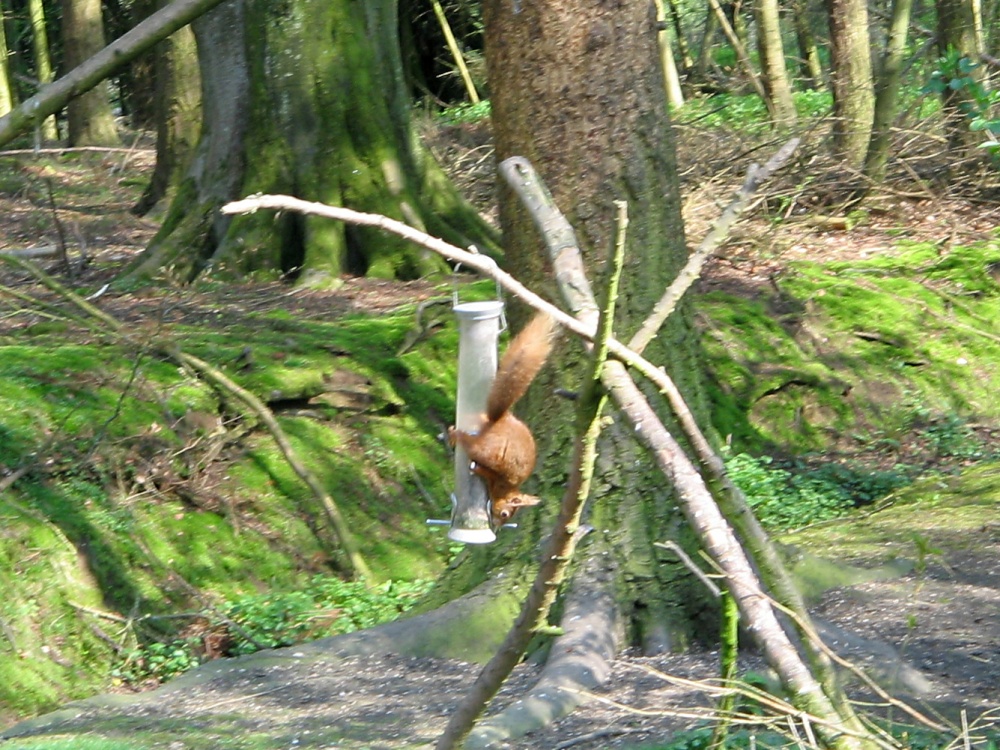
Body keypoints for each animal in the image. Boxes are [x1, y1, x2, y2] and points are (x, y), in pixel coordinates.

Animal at [449, 313, 556, 529]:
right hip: (490, 450)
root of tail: (503, 418)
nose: (497, 526)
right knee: (472, 445)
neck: (506, 489)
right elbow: (486, 472)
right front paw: (478, 469)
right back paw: (455, 435)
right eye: (506, 513)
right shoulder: (498, 478)